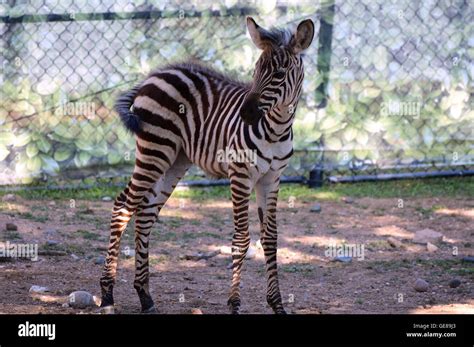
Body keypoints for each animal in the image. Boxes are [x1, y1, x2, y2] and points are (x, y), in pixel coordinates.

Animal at [100, 17, 314, 316]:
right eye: (255, 70)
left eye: (280, 74)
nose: (245, 114)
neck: (276, 128)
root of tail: (155, 75)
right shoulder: (240, 175)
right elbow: (241, 239)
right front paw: (234, 304)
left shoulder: (272, 178)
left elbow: (270, 238)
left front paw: (277, 305)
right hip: (155, 150)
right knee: (123, 206)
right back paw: (107, 295)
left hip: (175, 160)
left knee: (144, 213)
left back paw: (145, 297)